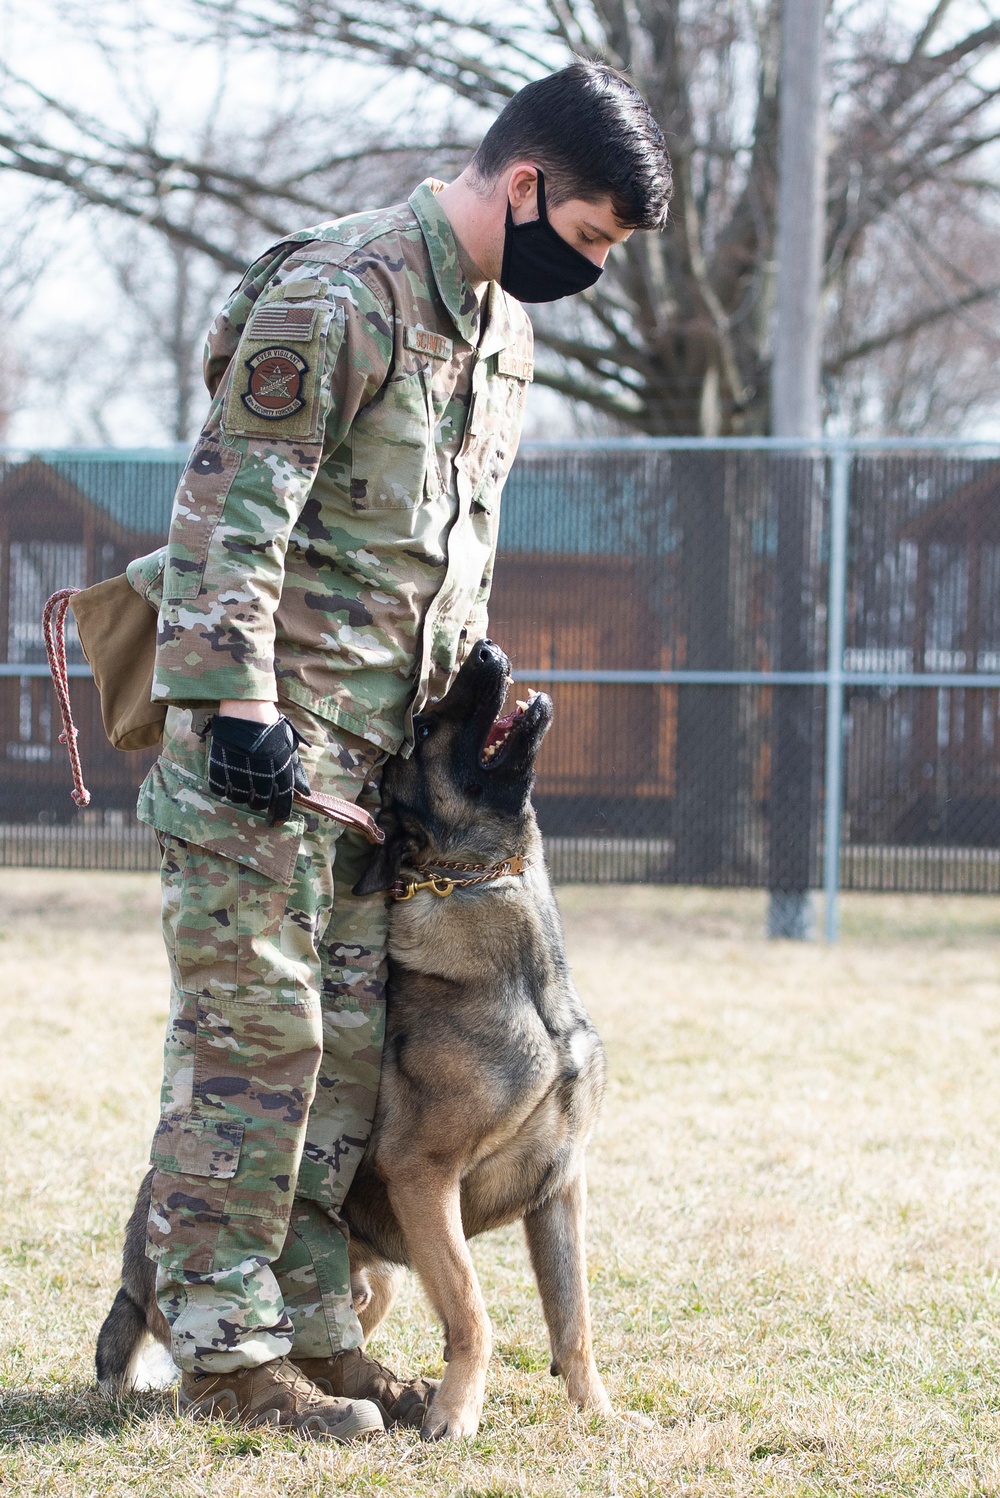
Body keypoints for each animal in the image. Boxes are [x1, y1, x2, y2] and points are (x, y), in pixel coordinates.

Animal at [95, 641, 610, 1438]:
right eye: (427, 728)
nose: (486, 649)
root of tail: (131, 1277)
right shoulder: (423, 1176)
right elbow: (475, 1312)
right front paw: (458, 1415)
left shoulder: (561, 1187)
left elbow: (573, 1320)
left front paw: (600, 1417)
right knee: (211, 1365)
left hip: (377, 1284)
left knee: (336, 1333)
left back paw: (379, 1391)